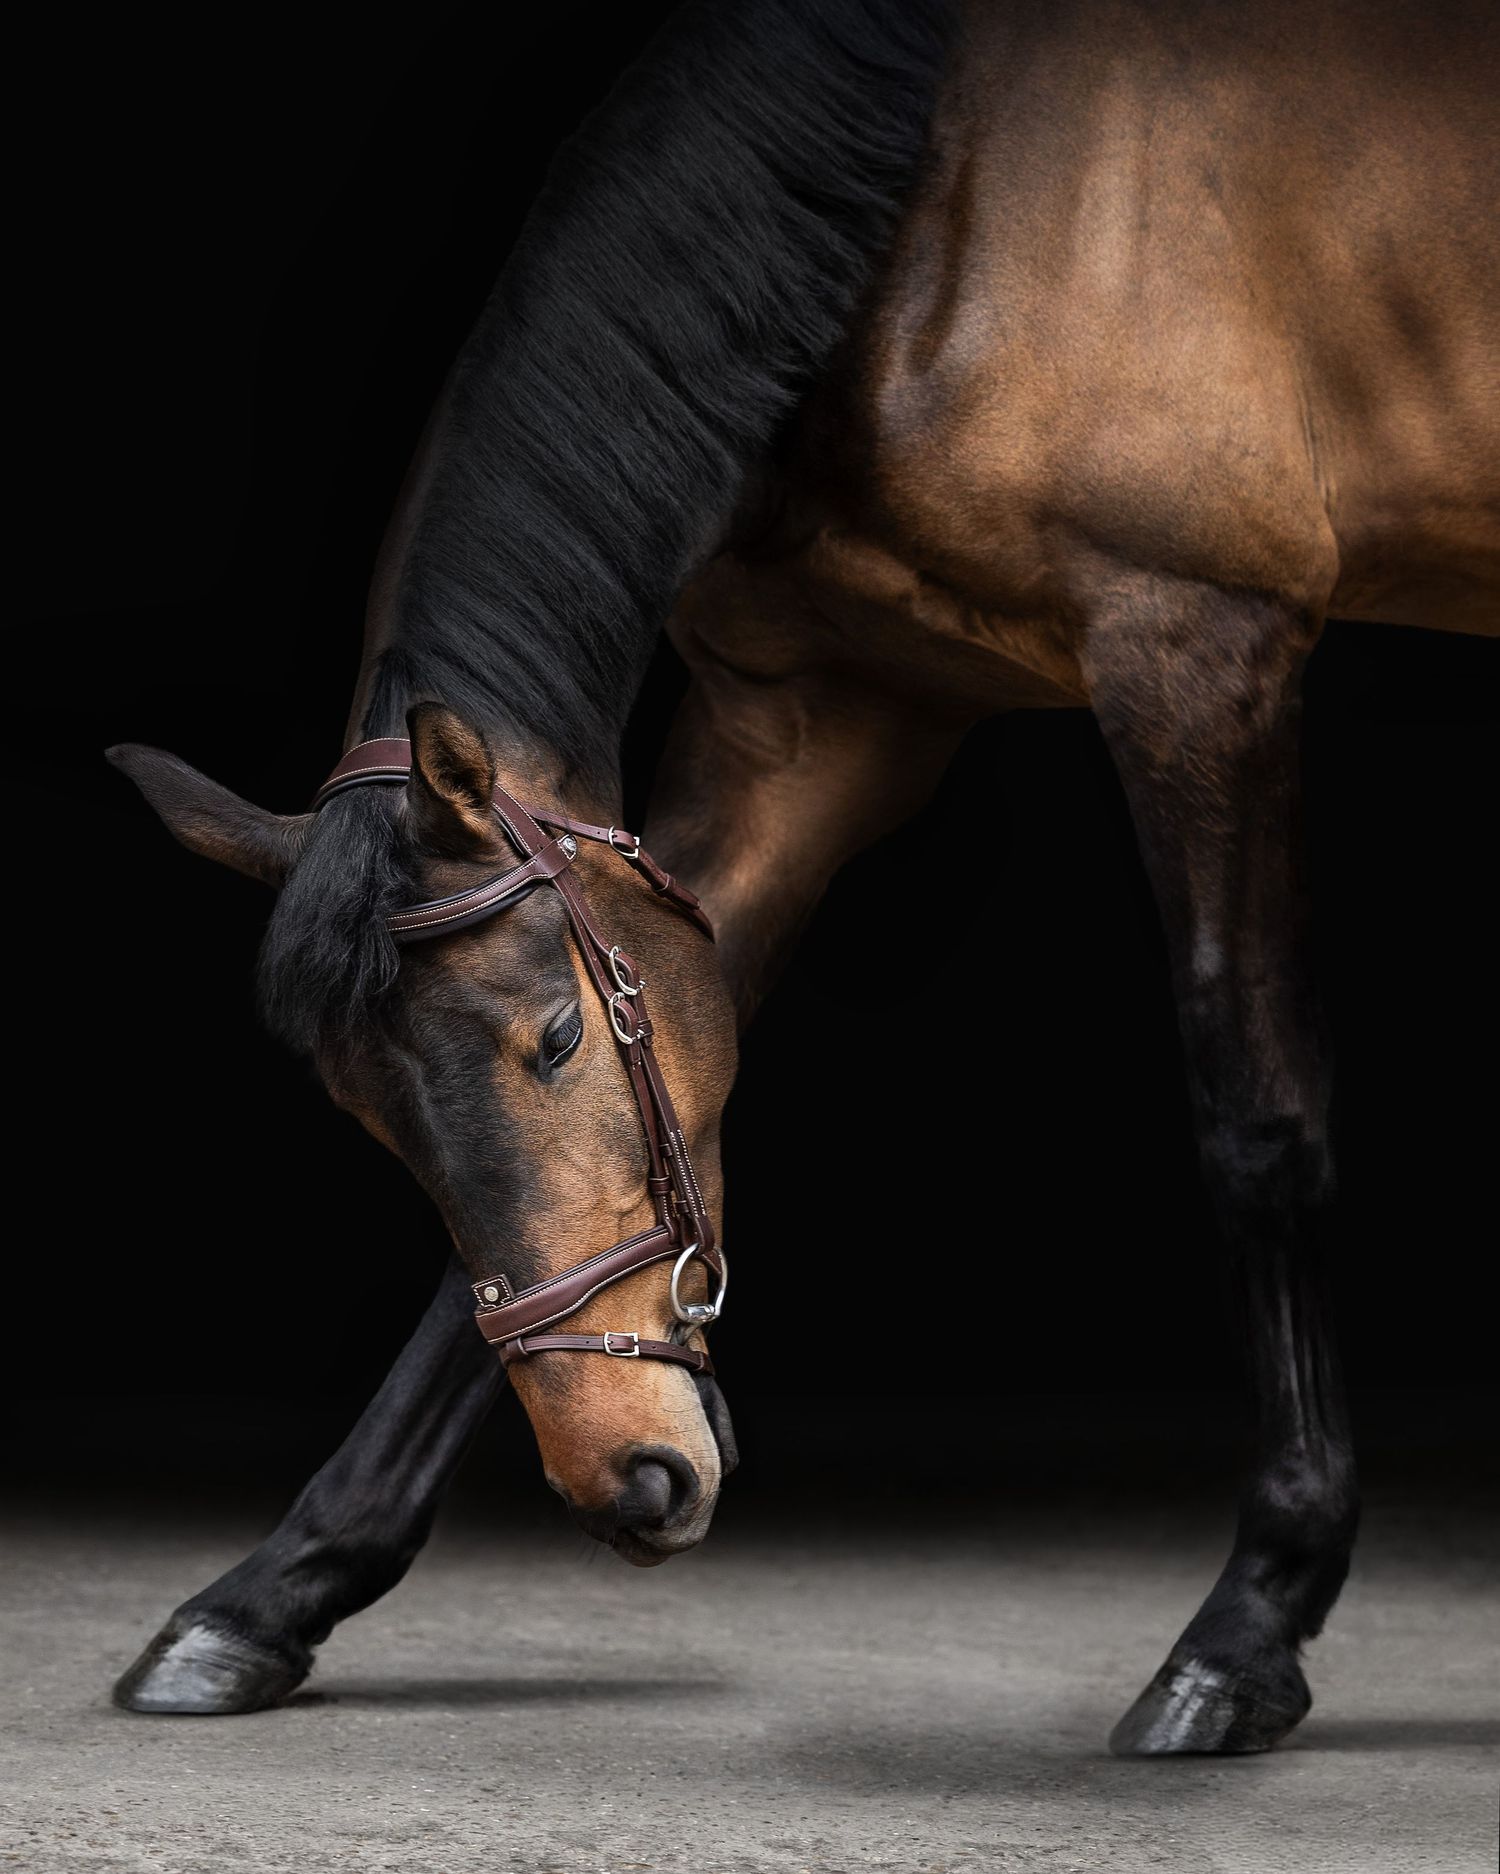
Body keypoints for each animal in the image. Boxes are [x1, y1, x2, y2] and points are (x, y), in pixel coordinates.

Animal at [106, 0, 1496, 1752]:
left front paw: (1252, 1620)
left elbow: (1261, 1124)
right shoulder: (816, 727)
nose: (631, 1478)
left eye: (555, 1038)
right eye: (372, 1119)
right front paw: (271, 1591)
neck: (943, 188)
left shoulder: (1198, 641)